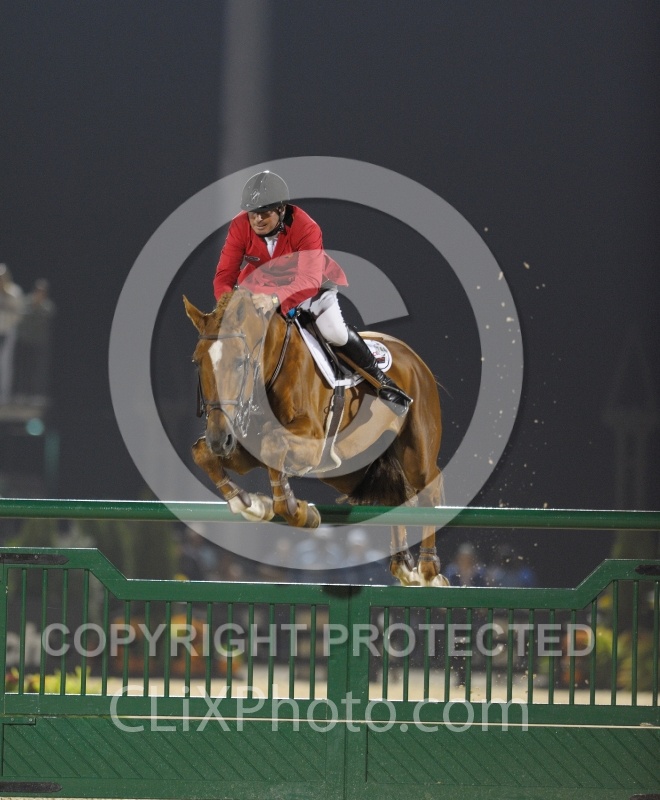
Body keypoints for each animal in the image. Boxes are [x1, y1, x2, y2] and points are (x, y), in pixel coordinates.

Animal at [184, 288, 448, 587]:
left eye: (240, 362)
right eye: (197, 362)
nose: (220, 439)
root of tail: (414, 359)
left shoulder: (310, 443)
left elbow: (274, 444)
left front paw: (296, 510)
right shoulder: (245, 451)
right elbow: (202, 453)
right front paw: (246, 502)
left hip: (416, 453)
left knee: (430, 485)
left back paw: (428, 568)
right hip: (348, 471)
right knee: (395, 497)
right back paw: (403, 566)